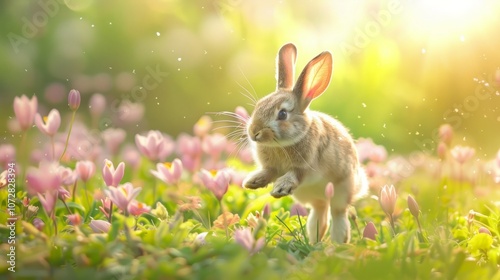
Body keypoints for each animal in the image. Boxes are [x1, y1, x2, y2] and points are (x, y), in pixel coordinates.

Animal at [242, 42, 368, 244]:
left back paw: (337, 245)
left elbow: (295, 175)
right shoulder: (272, 168)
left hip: (341, 193)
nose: (254, 132)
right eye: (258, 105)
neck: (281, 144)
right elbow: (269, 172)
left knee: (338, 216)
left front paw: (280, 188)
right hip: (316, 201)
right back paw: (314, 243)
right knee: (320, 215)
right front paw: (252, 182)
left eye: (282, 114)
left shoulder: (305, 167)